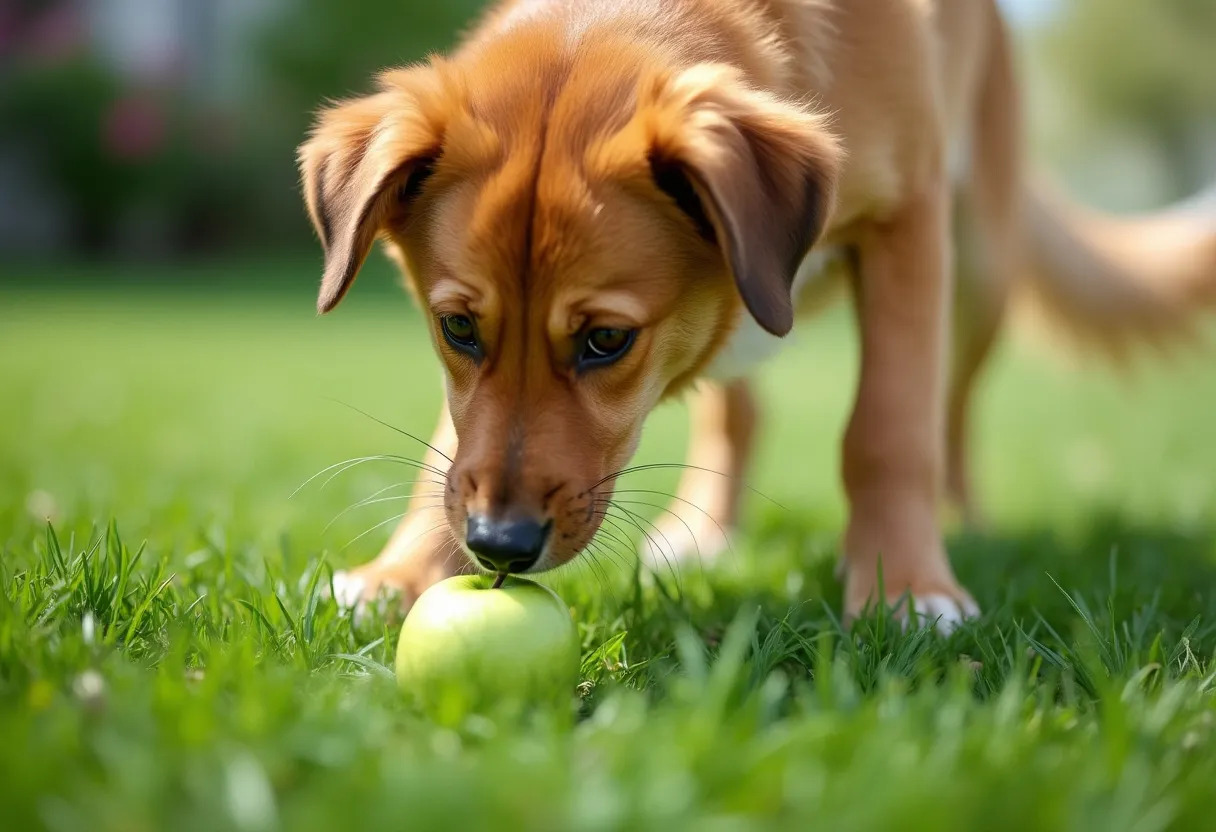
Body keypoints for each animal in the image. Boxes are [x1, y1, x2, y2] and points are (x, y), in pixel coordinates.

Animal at [296, 0, 1216, 627]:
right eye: (458, 329)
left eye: (606, 340)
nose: (497, 546)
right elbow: (447, 449)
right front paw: (399, 573)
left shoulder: (909, 223)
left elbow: (889, 430)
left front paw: (905, 586)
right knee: (740, 411)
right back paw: (704, 532)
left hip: (980, 263)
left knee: (951, 411)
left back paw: (965, 524)